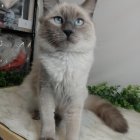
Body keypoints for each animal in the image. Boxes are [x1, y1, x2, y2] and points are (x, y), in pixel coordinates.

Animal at [24, 0, 128, 140]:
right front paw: (48, 136)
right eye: (58, 20)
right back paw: (37, 116)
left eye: (79, 22)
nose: (68, 31)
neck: (65, 58)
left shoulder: (74, 97)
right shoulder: (46, 91)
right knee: (46, 113)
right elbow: (48, 118)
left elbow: (73, 127)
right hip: (35, 94)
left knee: (60, 116)